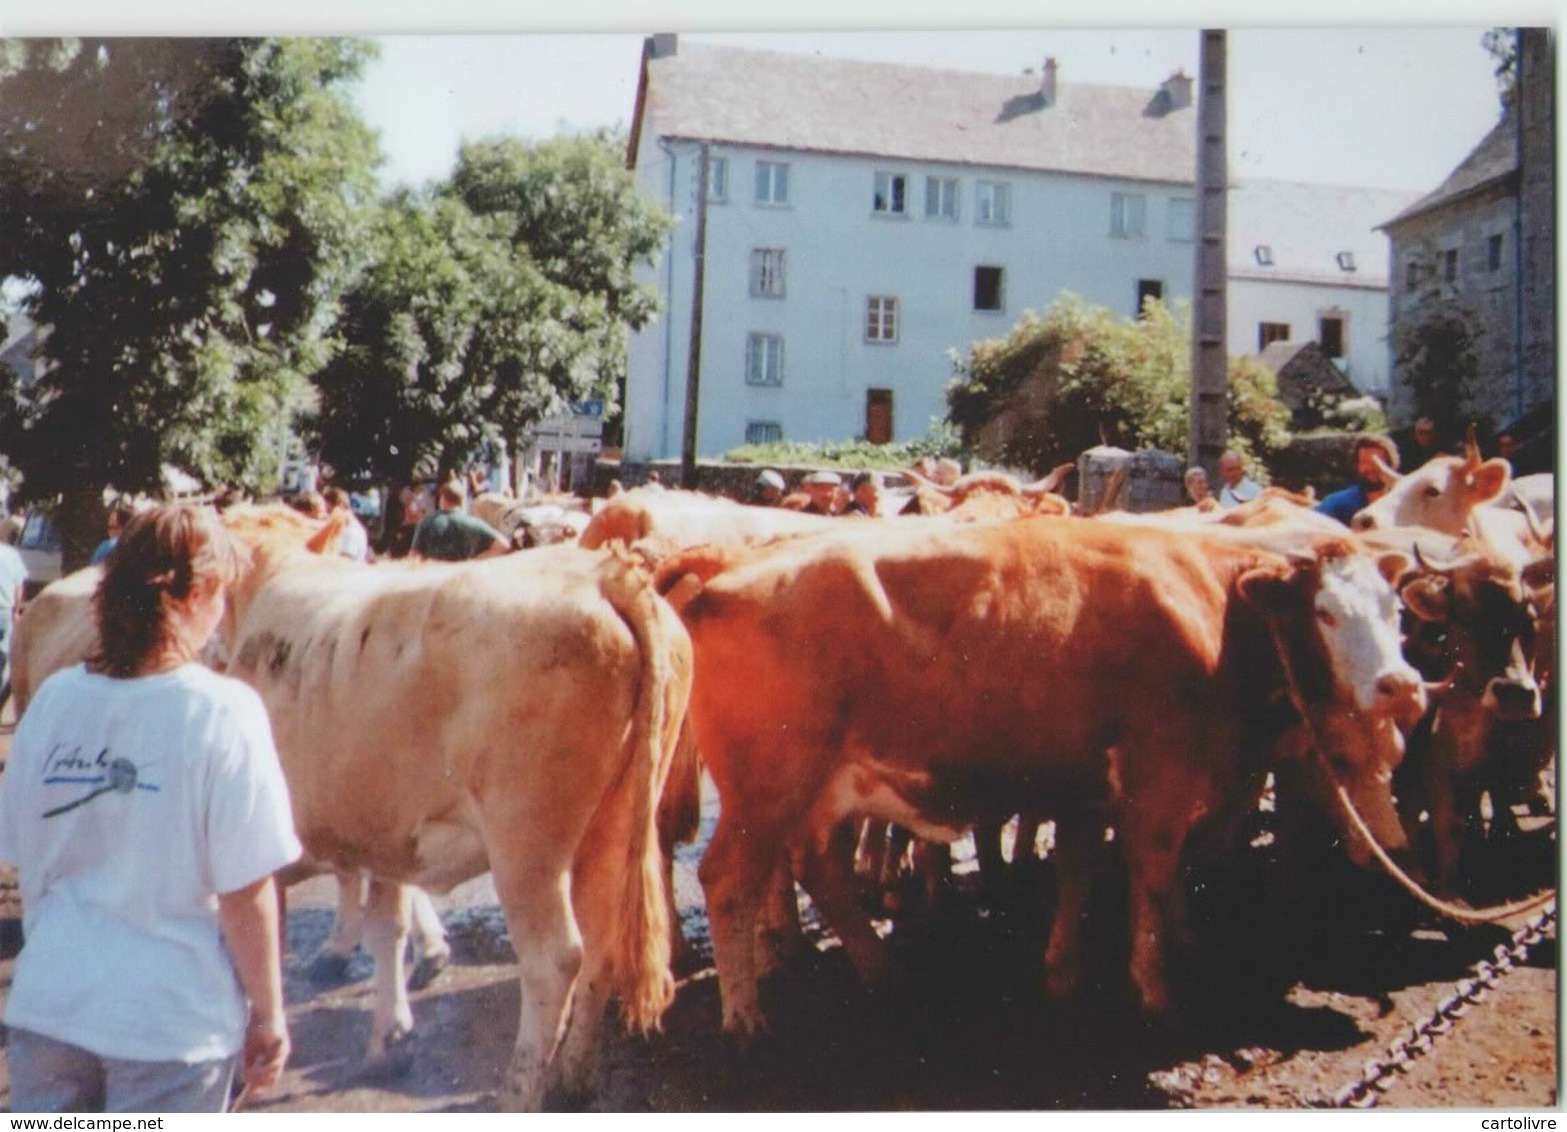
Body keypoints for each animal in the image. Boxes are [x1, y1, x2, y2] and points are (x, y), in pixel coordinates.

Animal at [219, 536, 686, 1103]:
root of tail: (603, 574)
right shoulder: (383, 833)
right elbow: (387, 928)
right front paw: (390, 1042)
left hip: (526, 846)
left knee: (553, 962)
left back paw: (517, 1096)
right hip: (610, 831)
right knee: (602, 940)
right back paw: (574, 1078)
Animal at [655, 514, 1429, 1034]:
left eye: (1395, 610)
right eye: (1326, 612)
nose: (1403, 686)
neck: (1214, 609)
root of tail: (728, 562)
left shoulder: (1089, 787)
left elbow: (1081, 872)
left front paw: (1065, 969)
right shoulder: (1159, 781)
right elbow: (1153, 873)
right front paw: (1155, 987)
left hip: (818, 789)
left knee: (819, 869)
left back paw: (882, 971)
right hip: (768, 787)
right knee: (729, 880)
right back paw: (746, 1017)